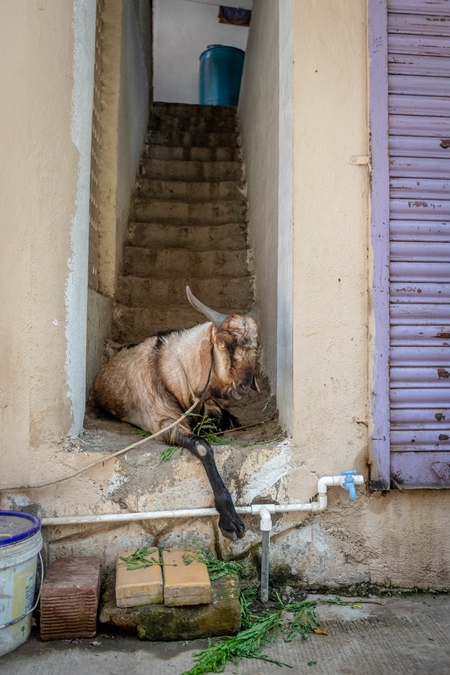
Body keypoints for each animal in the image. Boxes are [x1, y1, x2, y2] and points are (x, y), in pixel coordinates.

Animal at [92, 288, 260, 540]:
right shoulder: (163, 422)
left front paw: (225, 421)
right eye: (222, 345)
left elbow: (215, 420)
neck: (167, 367)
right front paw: (230, 521)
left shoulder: (207, 404)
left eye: (256, 347)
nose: (244, 386)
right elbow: (202, 446)